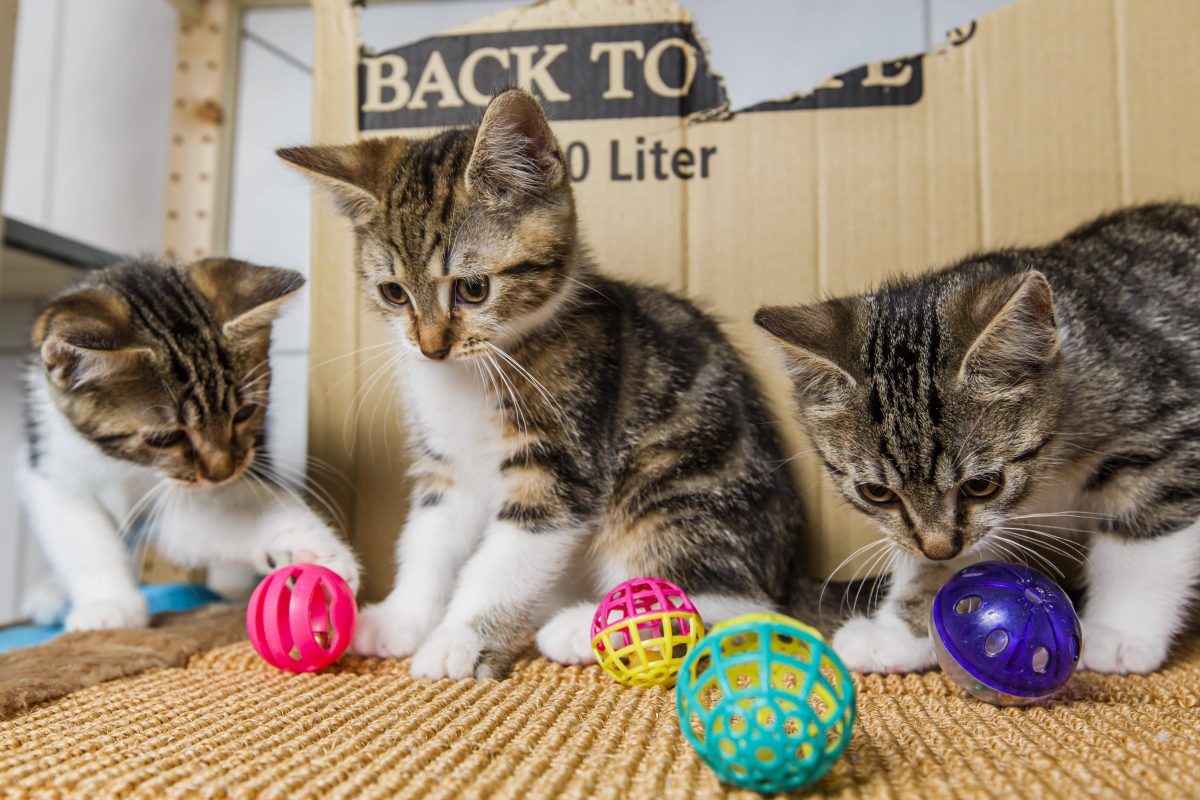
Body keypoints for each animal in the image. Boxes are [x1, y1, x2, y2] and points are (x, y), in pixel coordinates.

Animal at [19, 256, 355, 633]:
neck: (129, 465)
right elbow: (81, 534)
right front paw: (107, 605)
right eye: (165, 437)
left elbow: (220, 514)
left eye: (244, 412)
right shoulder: (52, 461)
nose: (223, 471)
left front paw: (313, 548)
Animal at [278, 89, 806, 681]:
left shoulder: (562, 459)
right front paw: (402, 618)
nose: (430, 348)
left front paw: (459, 639)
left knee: (737, 605)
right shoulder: (446, 466)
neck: (470, 374)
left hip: (681, 483)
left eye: (474, 289)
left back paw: (596, 628)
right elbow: (428, 540)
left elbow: (507, 556)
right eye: (394, 293)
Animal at [753, 205, 1200, 676]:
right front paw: (899, 631)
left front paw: (1119, 632)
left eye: (982, 485)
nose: (937, 549)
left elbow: (1144, 537)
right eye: (876, 492)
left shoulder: (1164, 425)